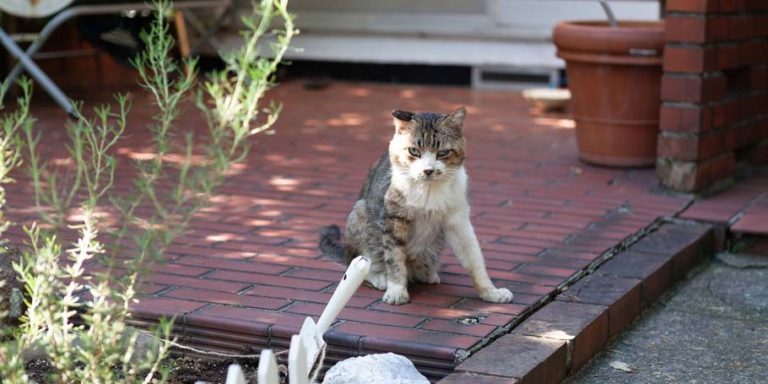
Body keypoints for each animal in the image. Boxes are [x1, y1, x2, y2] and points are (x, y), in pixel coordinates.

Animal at [320, 106, 512, 304]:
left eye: (442, 152)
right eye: (414, 151)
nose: (428, 170)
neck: (428, 191)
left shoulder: (458, 220)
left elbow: (474, 258)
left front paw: (490, 291)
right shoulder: (393, 219)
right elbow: (394, 257)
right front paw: (396, 290)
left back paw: (426, 273)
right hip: (359, 215)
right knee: (358, 262)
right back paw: (381, 277)